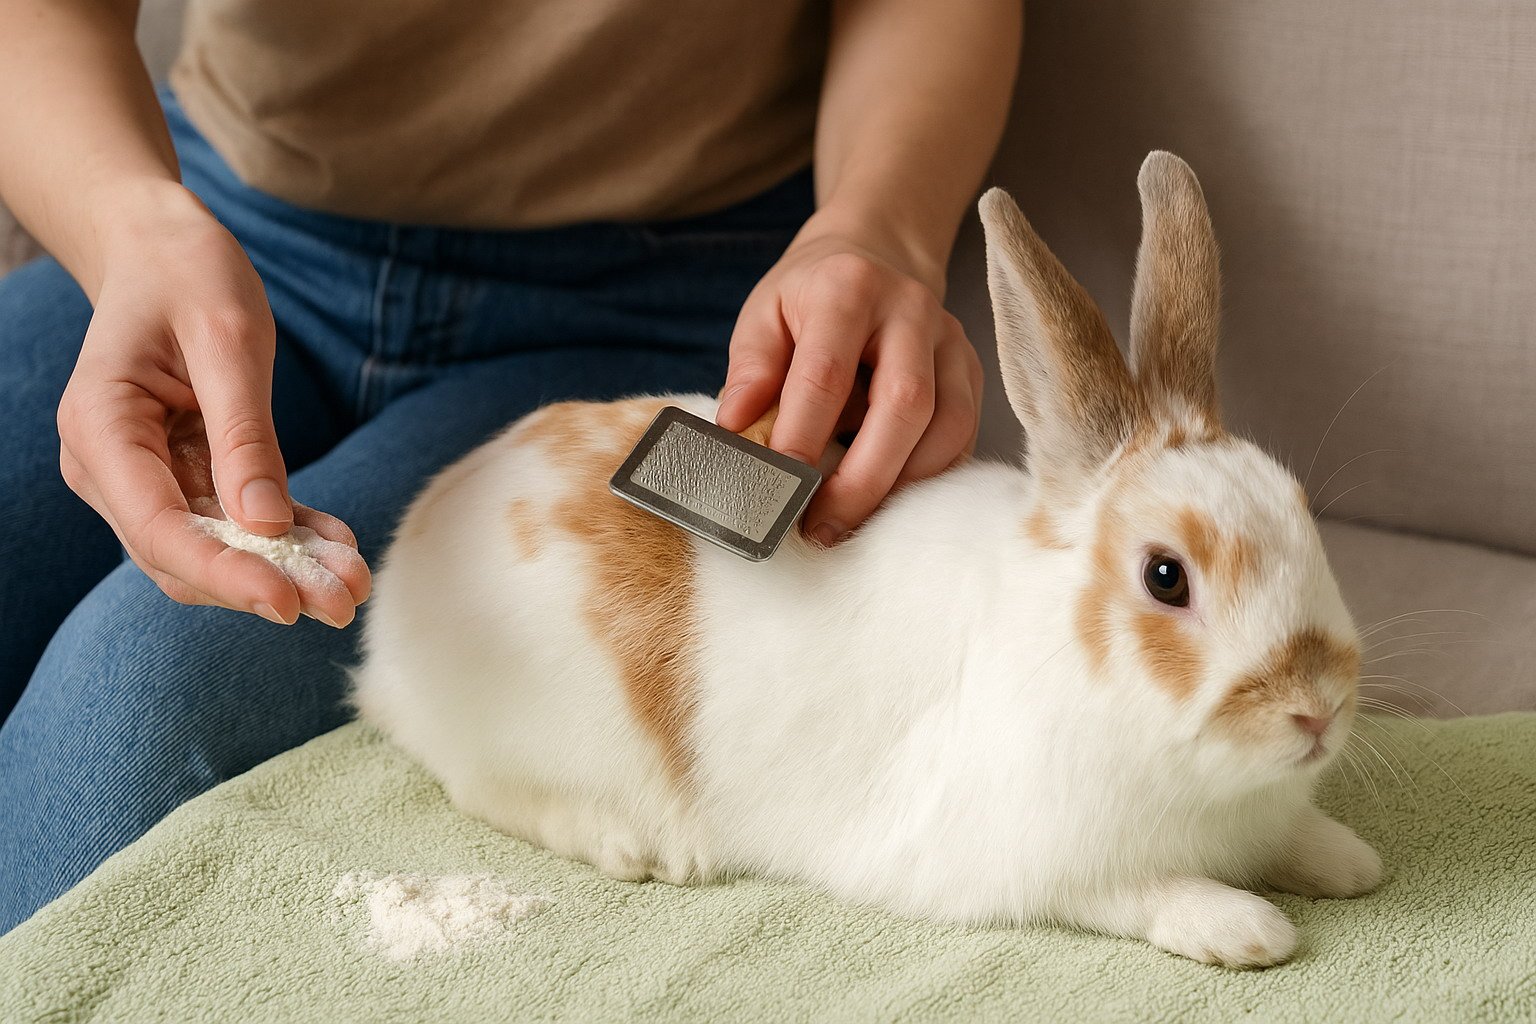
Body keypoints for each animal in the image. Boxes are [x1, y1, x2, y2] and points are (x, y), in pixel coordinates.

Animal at [352, 151, 1382, 968]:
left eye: (1303, 514)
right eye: (1166, 577)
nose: (1316, 710)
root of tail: (398, 583)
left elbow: (1298, 843)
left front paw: (1348, 860)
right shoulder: (1030, 859)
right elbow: (1141, 894)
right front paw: (1244, 928)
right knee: (483, 787)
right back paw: (635, 846)